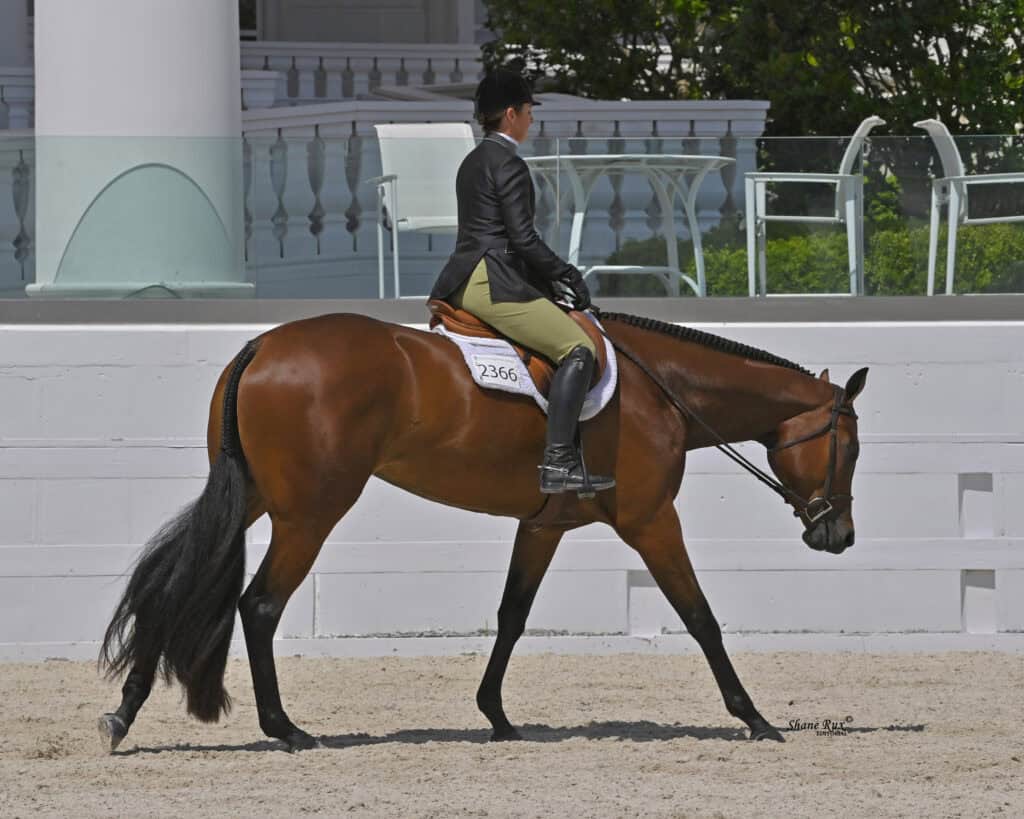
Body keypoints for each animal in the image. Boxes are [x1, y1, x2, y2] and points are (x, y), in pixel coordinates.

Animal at [98, 309, 868, 752]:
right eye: (851, 447)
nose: (839, 536)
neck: (663, 388)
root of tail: (259, 346)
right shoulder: (652, 520)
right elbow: (701, 617)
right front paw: (755, 717)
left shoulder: (545, 524)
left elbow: (512, 616)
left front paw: (495, 715)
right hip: (309, 513)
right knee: (257, 606)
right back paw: (284, 729)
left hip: (256, 498)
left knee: (178, 589)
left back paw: (123, 717)